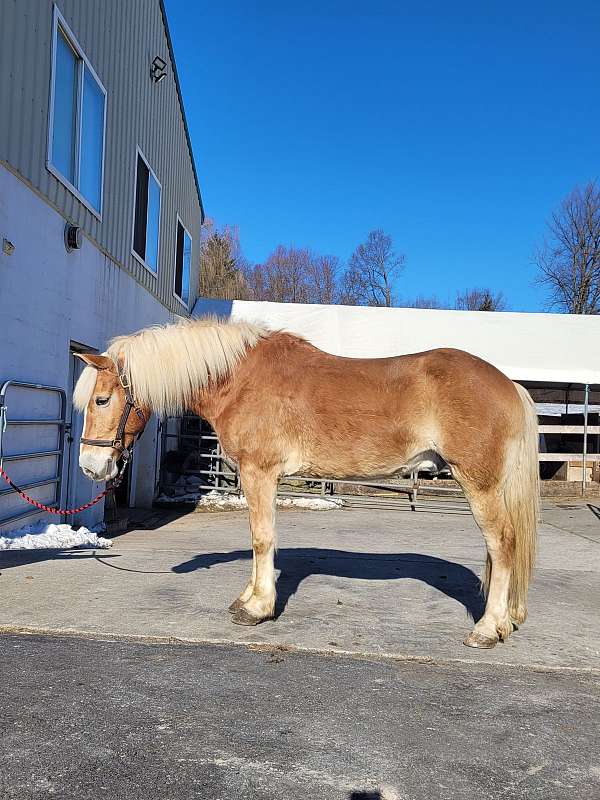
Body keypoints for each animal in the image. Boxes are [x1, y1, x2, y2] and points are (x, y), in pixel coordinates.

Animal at [75, 316, 540, 648]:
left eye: (102, 399)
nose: (90, 467)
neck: (239, 379)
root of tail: (509, 385)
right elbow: (258, 539)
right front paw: (247, 598)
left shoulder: (259, 472)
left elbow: (262, 538)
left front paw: (257, 608)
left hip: (478, 484)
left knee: (502, 545)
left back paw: (487, 629)